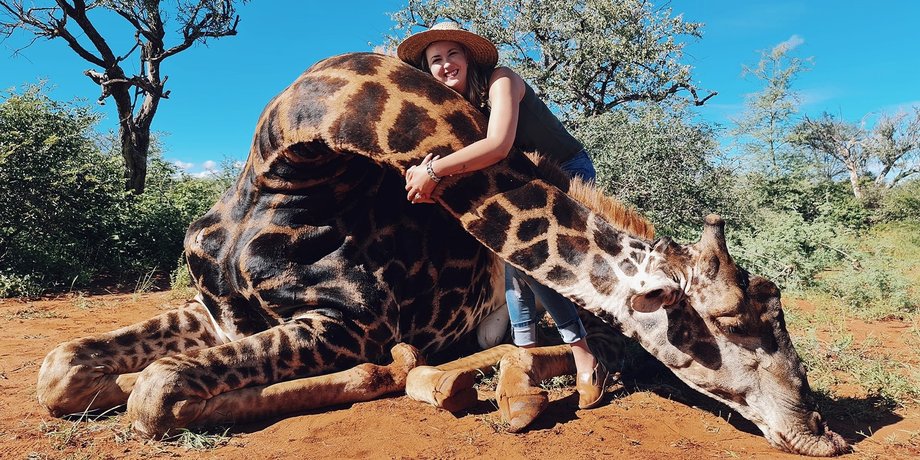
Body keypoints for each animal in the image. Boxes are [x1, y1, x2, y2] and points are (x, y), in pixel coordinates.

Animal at [35, 53, 848, 456]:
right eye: (740, 327)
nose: (822, 433)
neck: (284, 169)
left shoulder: (346, 324)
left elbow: (155, 394)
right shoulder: (215, 309)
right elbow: (63, 370)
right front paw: (104, 381)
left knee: (582, 353)